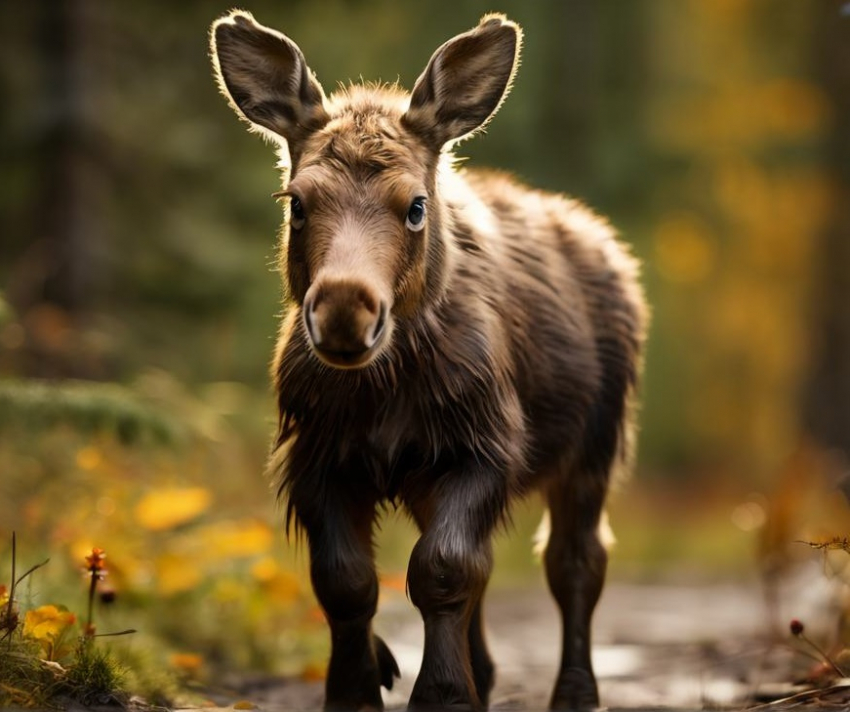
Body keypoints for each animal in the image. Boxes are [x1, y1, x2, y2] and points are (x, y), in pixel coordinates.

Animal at [210, 12, 644, 712]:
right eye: (296, 202)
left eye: (415, 206)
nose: (344, 312)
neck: (383, 387)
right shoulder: (318, 459)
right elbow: (347, 581)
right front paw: (358, 688)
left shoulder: (484, 447)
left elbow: (442, 569)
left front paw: (442, 693)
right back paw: (486, 675)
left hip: (595, 447)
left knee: (575, 561)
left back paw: (575, 691)